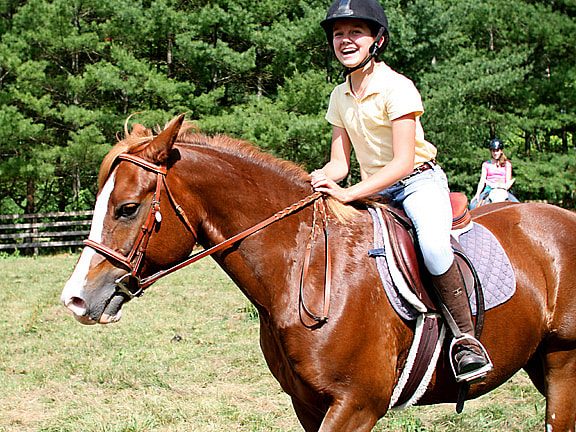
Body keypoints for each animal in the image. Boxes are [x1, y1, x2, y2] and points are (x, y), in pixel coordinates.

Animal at [62, 115, 576, 432]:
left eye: (128, 208)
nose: (76, 298)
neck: (302, 271)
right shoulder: (308, 404)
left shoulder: (356, 405)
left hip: (562, 359)